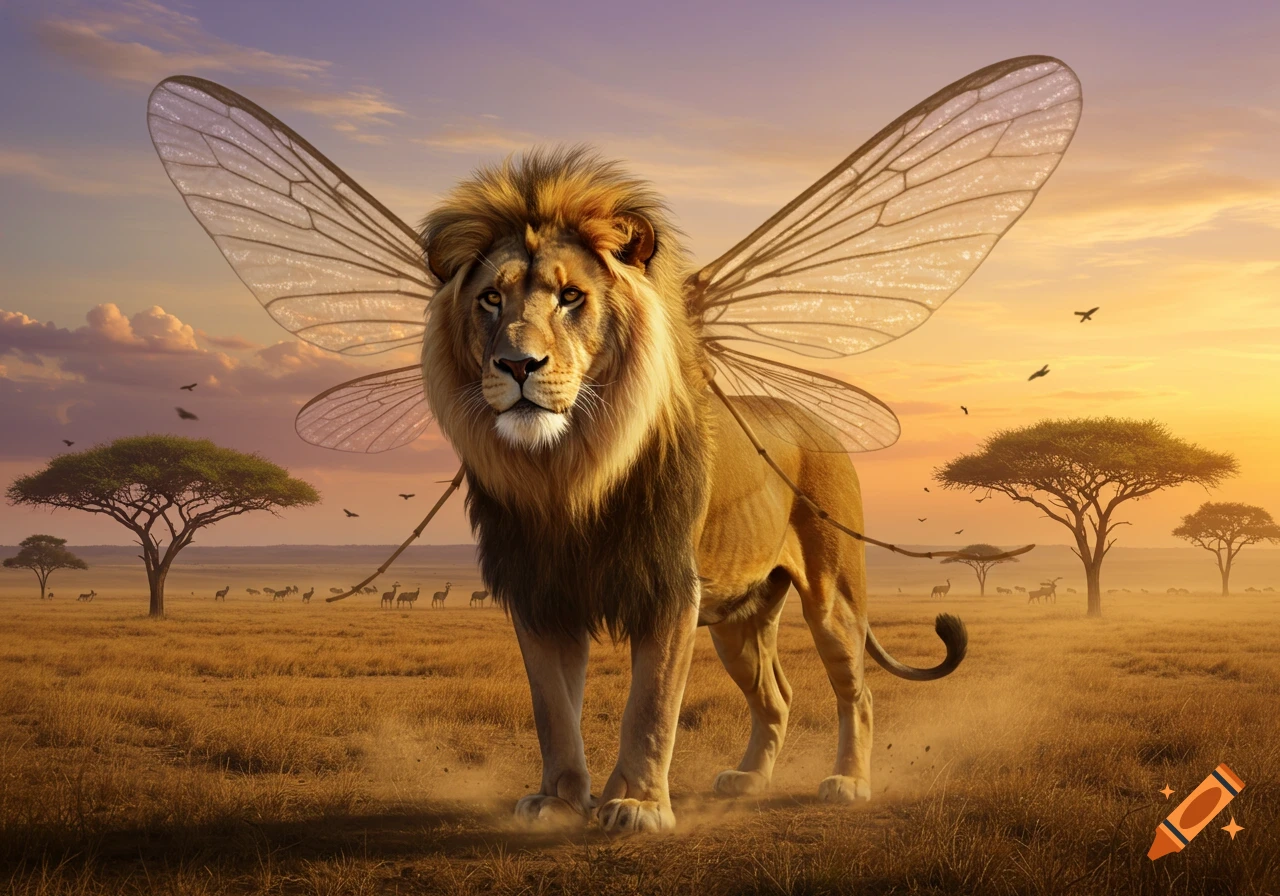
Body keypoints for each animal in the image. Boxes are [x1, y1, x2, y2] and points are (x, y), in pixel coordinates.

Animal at [420, 148, 967, 834]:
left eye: (571, 297)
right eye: (491, 298)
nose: (519, 365)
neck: (566, 474)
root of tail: (819, 425)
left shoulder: (669, 590)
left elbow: (650, 708)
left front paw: (637, 806)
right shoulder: (541, 595)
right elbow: (553, 710)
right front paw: (559, 800)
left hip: (832, 598)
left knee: (858, 691)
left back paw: (848, 782)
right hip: (738, 621)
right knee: (777, 697)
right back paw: (749, 779)